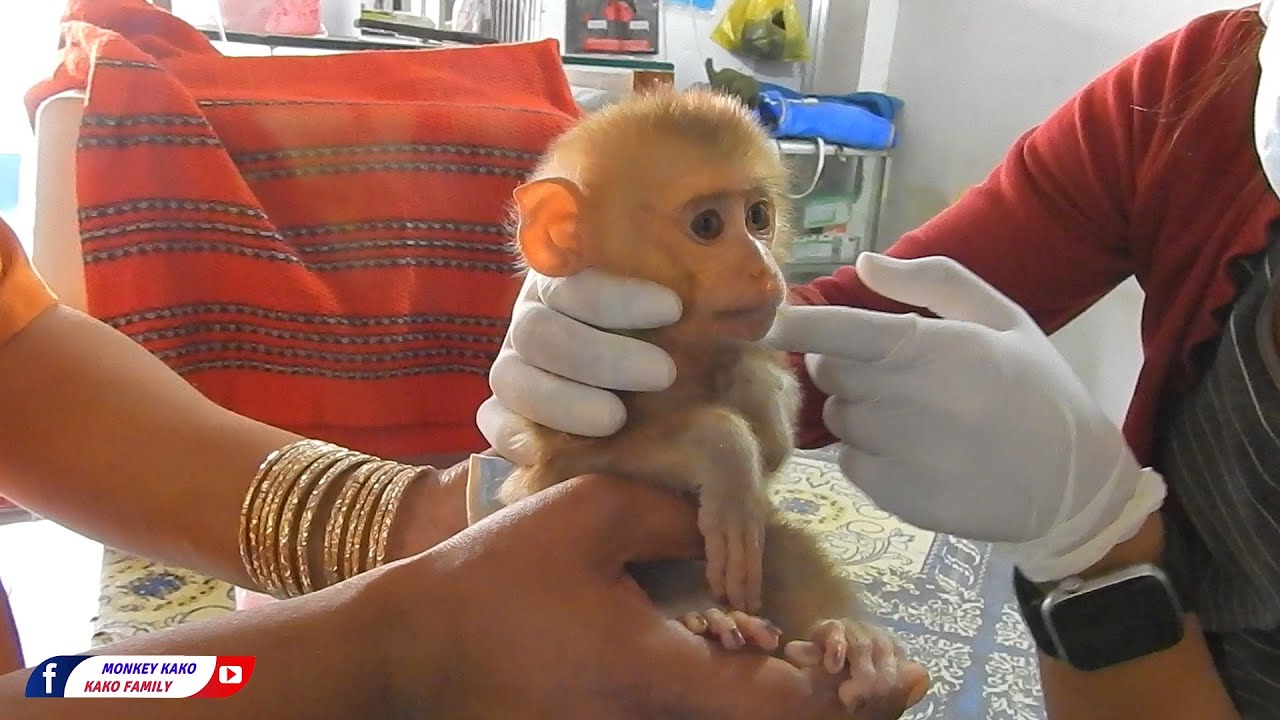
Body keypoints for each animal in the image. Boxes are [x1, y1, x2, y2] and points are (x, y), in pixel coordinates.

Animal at [496, 87, 930, 718]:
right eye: (707, 225)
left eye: (757, 217)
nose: (764, 268)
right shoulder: (561, 429)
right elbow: (560, 474)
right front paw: (721, 444)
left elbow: (769, 443)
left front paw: (752, 382)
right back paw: (708, 617)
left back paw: (857, 647)